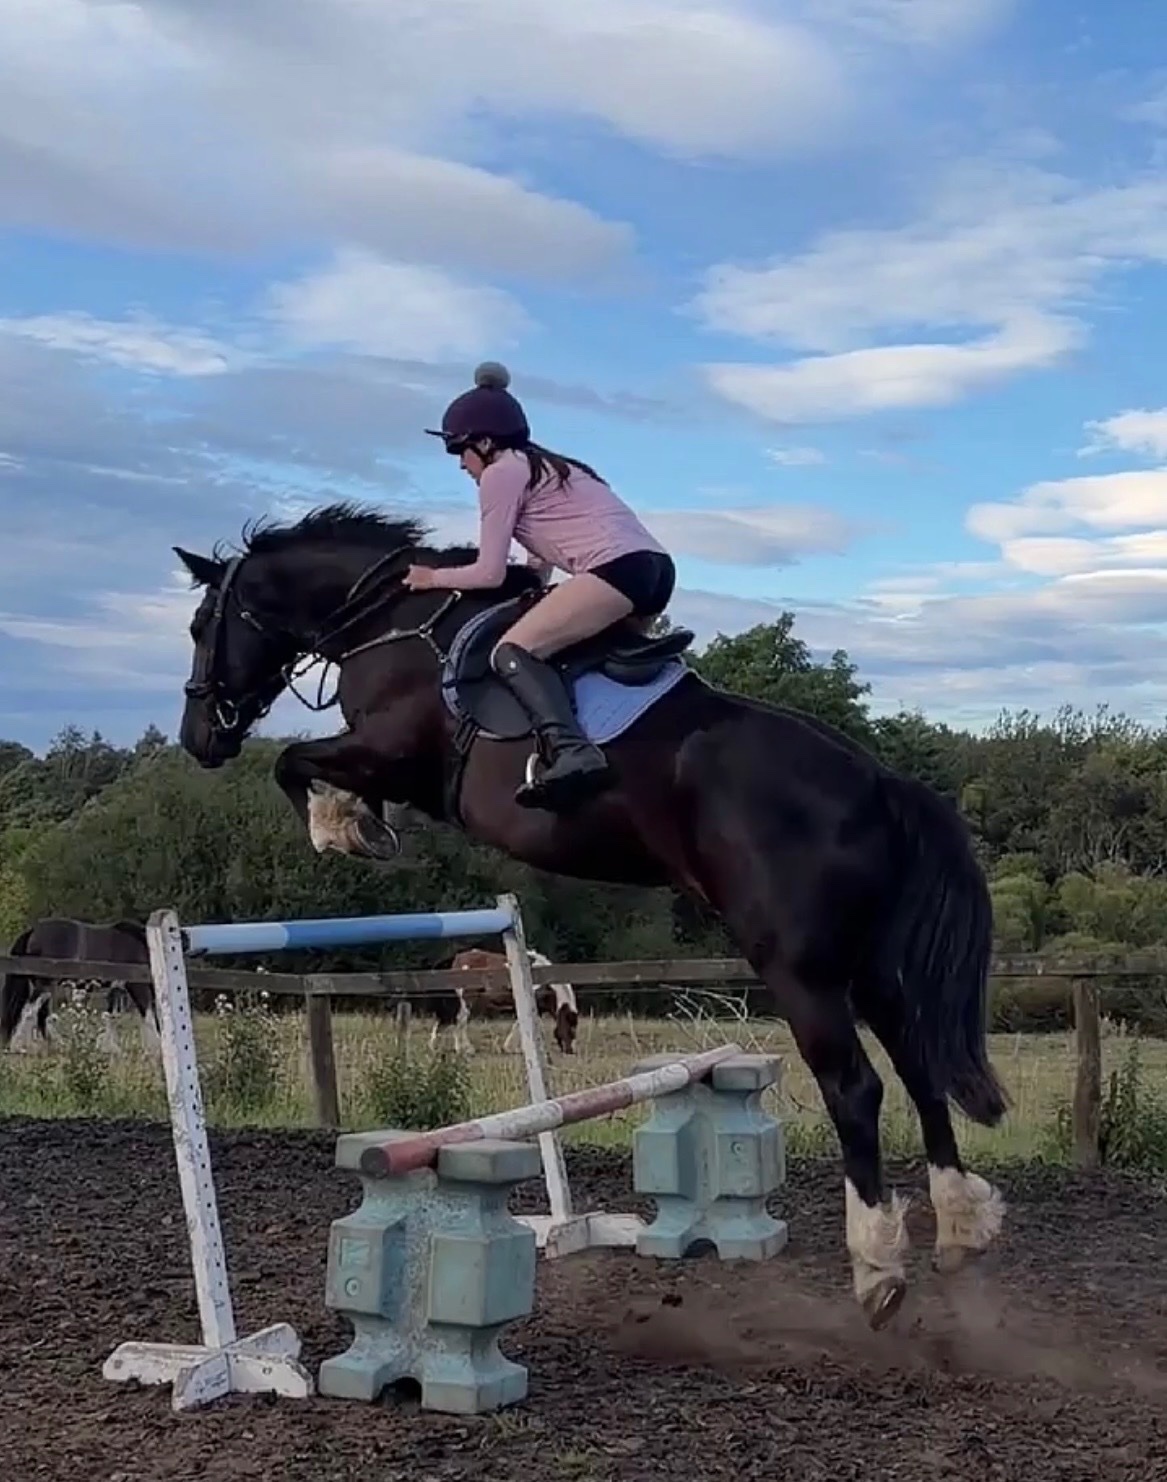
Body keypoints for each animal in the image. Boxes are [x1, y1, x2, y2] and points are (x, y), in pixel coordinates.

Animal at [0, 917, 160, 1053]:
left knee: (41, 1015)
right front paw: (155, 1047)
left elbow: (112, 1016)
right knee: (30, 1011)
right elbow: (149, 1014)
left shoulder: (117, 987)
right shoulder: (137, 985)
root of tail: (33, 931)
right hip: (45, 985)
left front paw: (110, 1047)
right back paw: (20, 1045)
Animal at [173, 503, 1007, 1330]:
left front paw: (344, 828)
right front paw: (357, 823)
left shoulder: (391, 751)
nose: (198, 740)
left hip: (796, 962)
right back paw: (959, 1224)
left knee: (854, 1087)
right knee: (918, 1062)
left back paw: (876, 1265)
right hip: (868, 961)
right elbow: (305, 766)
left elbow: (295, 763)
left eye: (199, 624)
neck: (391, 621)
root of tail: (878, 782)